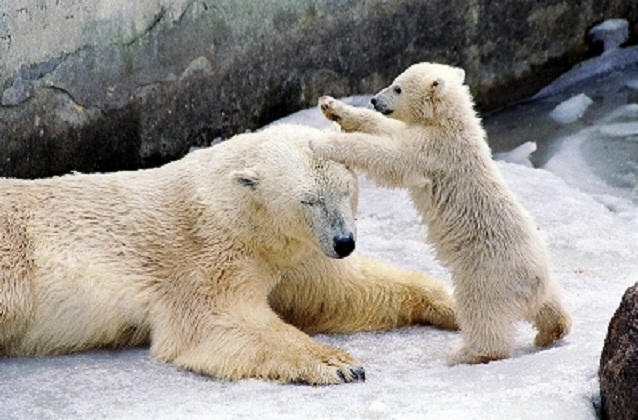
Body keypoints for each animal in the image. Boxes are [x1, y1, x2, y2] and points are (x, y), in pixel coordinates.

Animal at [1, 124, 460, 384]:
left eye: (347, 190)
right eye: (308, 200)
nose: (344, 242)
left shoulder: (292, 254)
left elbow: (337, 292)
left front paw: (455, 306)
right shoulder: (205, 256)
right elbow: (221, 320)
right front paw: (339, 364)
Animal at [316, 62, 576, 364]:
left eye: (397, 87)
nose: (374, 100)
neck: (450, 122)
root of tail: (532, 281)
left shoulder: (435, 151)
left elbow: (391, 157)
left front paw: (325, 143)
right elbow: (388, 129)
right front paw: (333, 108)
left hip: (487, 275)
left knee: (481, 315)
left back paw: (467, 352)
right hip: (539, 277)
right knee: (550, 304)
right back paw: (551, 331)